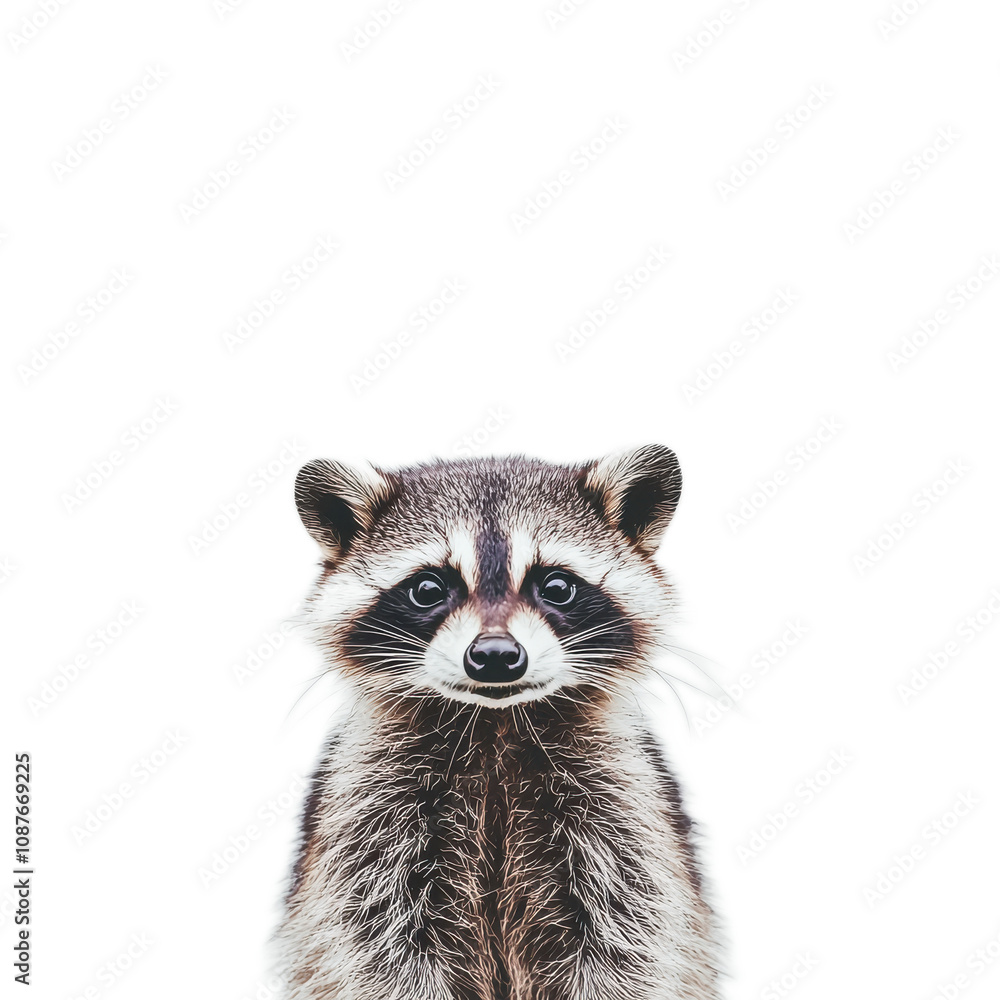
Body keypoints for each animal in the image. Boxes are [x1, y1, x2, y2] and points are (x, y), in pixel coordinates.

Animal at [277, 446, 721, 1000]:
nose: (494, 655)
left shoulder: (623, 811)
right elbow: (379, 946)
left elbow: (626, 942)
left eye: (557, 586)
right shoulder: (368, 816)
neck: (496, 725)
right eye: (428, 588)